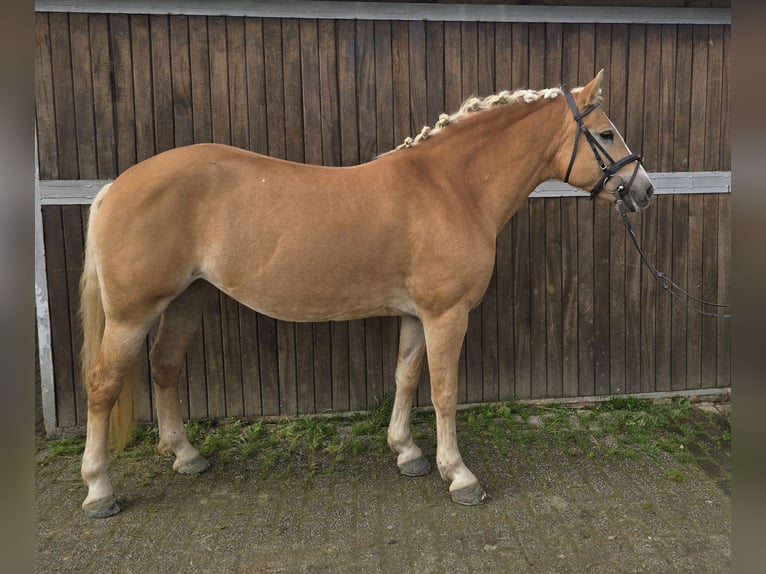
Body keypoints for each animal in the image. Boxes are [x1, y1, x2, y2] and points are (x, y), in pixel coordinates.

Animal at [76, 70, 656, 520]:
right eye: (606, 133)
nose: (645, 190)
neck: (453, 187)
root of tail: (115, 187)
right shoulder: (447, 315)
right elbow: (444, 392)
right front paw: (459, 475)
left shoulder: (417, 316)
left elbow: (405, 377)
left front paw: (407, 453)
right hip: (131, 314)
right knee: (103, 386)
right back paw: (99, 489)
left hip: (186, 300)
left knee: (165, 367)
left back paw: (186, 455)